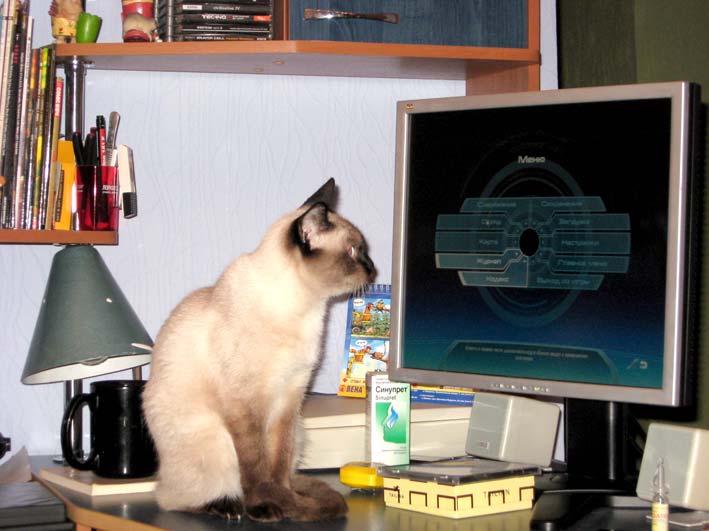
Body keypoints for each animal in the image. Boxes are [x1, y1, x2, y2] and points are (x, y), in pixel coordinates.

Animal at [142, 178, 376, 523]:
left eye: (364, 251)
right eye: (352, 252)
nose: (373, 269)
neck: (307, 309)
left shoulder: (290, 396)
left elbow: (276, 463)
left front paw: (283, 498)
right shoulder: (245, 401)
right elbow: (254, 465)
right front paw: (265, 506)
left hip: (299, 429)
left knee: (288, 470)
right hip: (213, 439)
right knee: (173, 498)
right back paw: (226, 506)